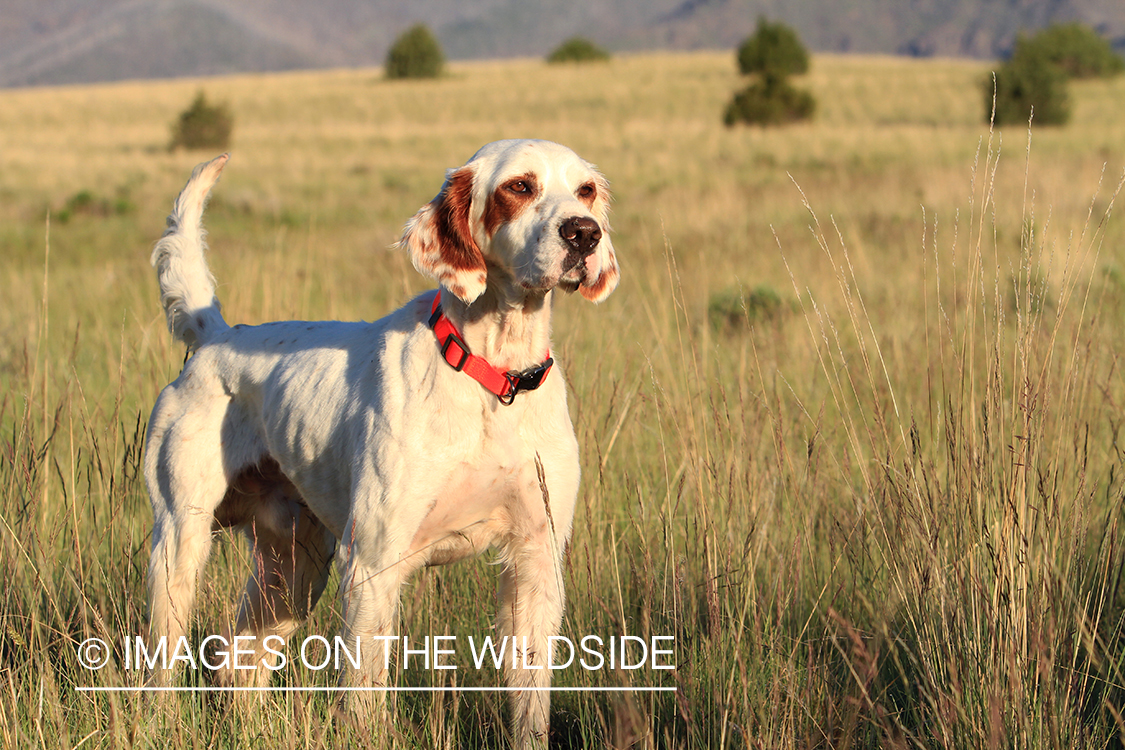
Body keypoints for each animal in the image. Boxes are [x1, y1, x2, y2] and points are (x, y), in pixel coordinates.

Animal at [141, 140, 621, 746]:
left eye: (585, 191)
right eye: (519, 186)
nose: (584, 233)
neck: (492, 377)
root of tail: (215, 336)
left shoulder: (536, 561)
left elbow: (529, 703)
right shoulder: (373, 561)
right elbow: (366, 692)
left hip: (292, 567)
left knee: (239, 656)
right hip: (181, 541)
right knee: (161, 664)